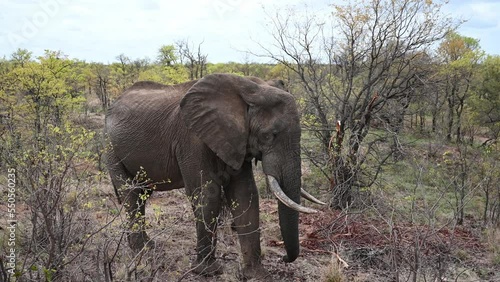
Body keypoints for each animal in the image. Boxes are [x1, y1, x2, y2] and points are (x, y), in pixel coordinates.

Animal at [105, 73, 324, 280]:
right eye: (269, 135)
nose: (284, 257)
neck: (248, 89)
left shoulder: (237, 141)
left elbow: (245, 195)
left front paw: (256, 274)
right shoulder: (192, 141)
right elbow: (207, 194)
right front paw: (208, 272)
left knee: (141, 195)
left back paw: (147, 245)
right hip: (110, 146)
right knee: (131, 195)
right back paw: (142, 250)